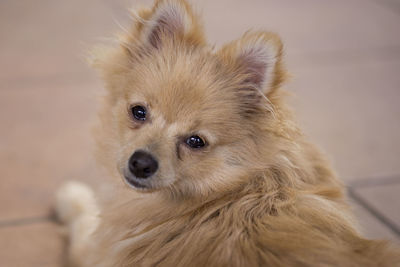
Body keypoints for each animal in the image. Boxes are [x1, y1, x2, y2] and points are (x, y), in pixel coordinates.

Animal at [56, 1, 400, 266]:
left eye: (196, 141)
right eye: (138, 112)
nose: (141, 163)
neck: (226, 192)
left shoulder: (98, 251)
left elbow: (85, 219)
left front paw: (72, 196)